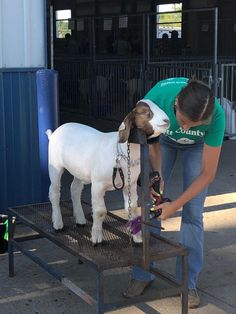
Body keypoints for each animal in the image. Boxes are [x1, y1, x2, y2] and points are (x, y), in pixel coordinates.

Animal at [46, 100, 169, 245]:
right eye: (145, 112)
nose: (167, 120)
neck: (120, 150)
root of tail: (55, 132)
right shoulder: (98, 185)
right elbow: (100, 212)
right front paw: (96, 238)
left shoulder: (131, 184)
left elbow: (132, 208)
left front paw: (137, 238)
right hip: (55, 165)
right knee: (54, 192)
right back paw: (58, 224)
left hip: (79, 170)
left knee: (75, 189)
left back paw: (80, 220)